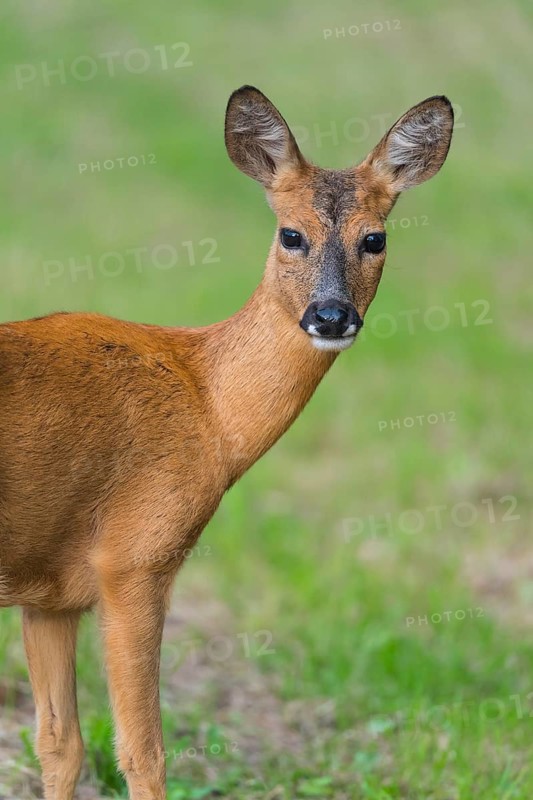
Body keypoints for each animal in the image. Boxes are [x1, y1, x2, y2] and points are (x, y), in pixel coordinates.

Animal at [0, 86, 453, 799]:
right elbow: (144, 751)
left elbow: (60, 744)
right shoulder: (134, 556)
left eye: (375, 238)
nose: (331, 315)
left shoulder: (50, 593)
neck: (206, 402)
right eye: (291, 233)